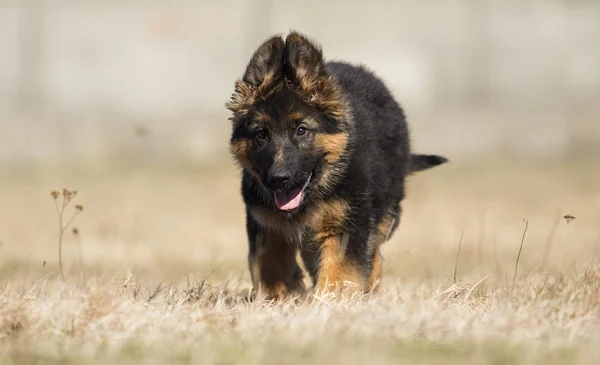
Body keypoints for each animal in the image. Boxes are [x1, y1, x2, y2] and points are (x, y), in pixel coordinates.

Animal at [225, 31, 446, 298]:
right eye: (261, 134)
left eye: (301, 130)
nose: (279, 179)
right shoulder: (265, 223)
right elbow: (271, 263)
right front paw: (282, 296)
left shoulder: (348, 224)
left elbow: (341, 271)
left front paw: (331, 300)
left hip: (386, 208)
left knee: (374, 251)